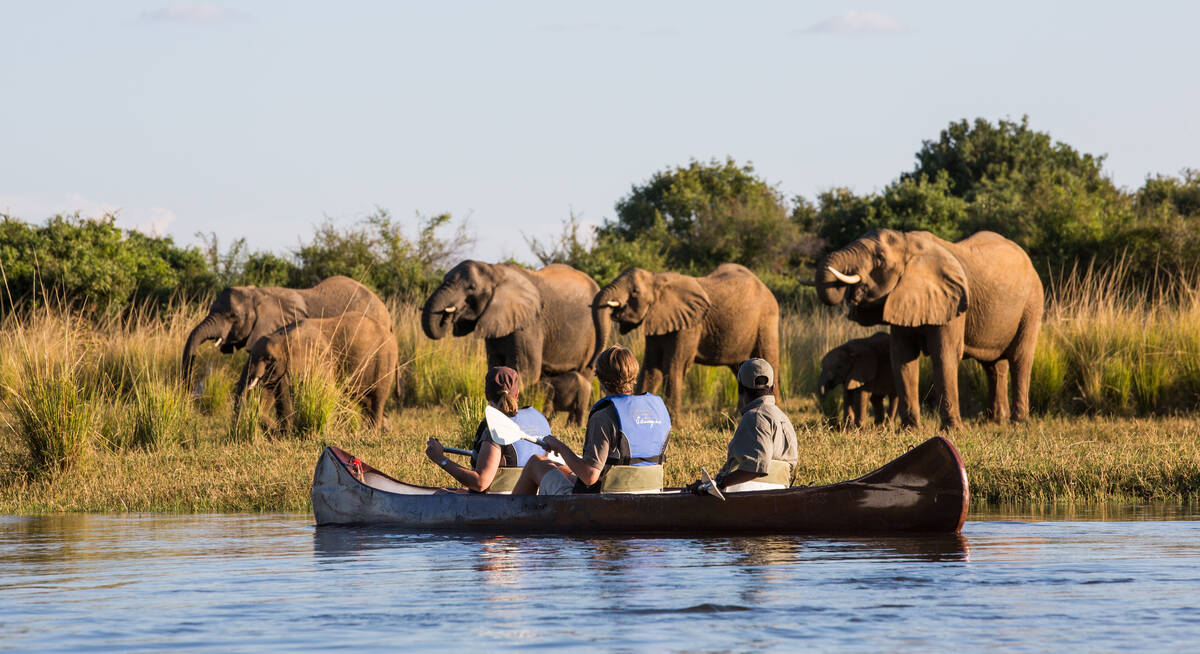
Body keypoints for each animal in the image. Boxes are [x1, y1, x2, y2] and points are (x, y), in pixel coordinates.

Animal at [242, 309, 398, 427]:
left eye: (269, 359)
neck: (282, 337)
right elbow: (269, 393)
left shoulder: (319, 360)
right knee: (365, 401)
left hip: (385, 359)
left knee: (377, 399)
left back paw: (373, 432)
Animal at [811, 226, 1046, 432]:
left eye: (879, 258)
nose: (851, 293)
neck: (909, 245)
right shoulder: (902, 297)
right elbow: (902, 359)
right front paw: (908, 430)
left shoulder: (952, 304)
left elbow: (944, 355)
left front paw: (952, 431)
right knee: (993, 366)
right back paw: (994, 422)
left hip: (1032, 303)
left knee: (1020, 359)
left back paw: (1018, 423)